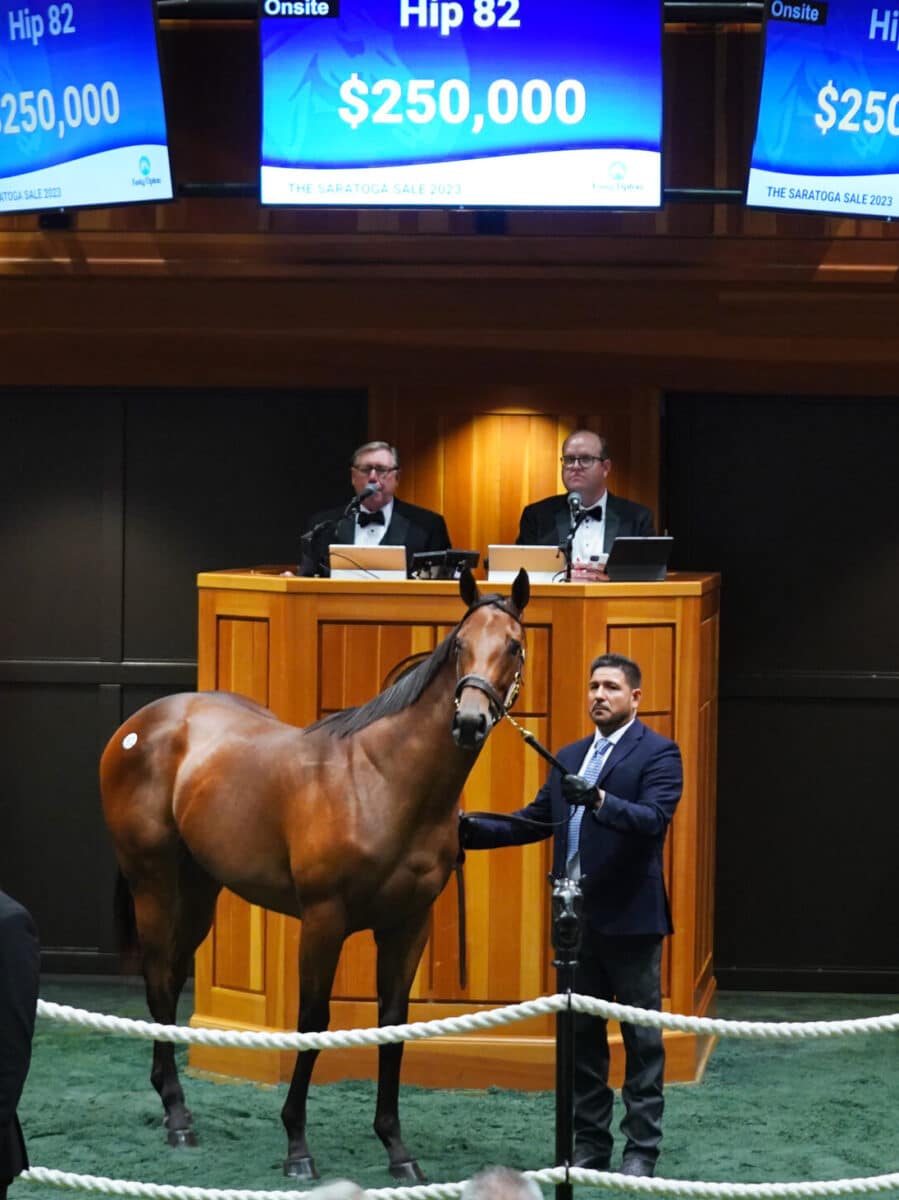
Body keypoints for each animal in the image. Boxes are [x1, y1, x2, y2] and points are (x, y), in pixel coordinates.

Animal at [101, 564, 530, 1180]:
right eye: (460, 645)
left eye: (514, 644)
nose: (469, 721)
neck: (382, 781)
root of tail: (140, 724)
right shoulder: (324, 920)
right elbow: (311, 1019)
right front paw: (297, 1147)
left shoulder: (408, 924)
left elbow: (394, 1023)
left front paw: (397, 1149)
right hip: (153, 881)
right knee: (158, 977)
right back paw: (179, 1119)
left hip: (200, 889)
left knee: (173, 975)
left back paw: (170, 1101)